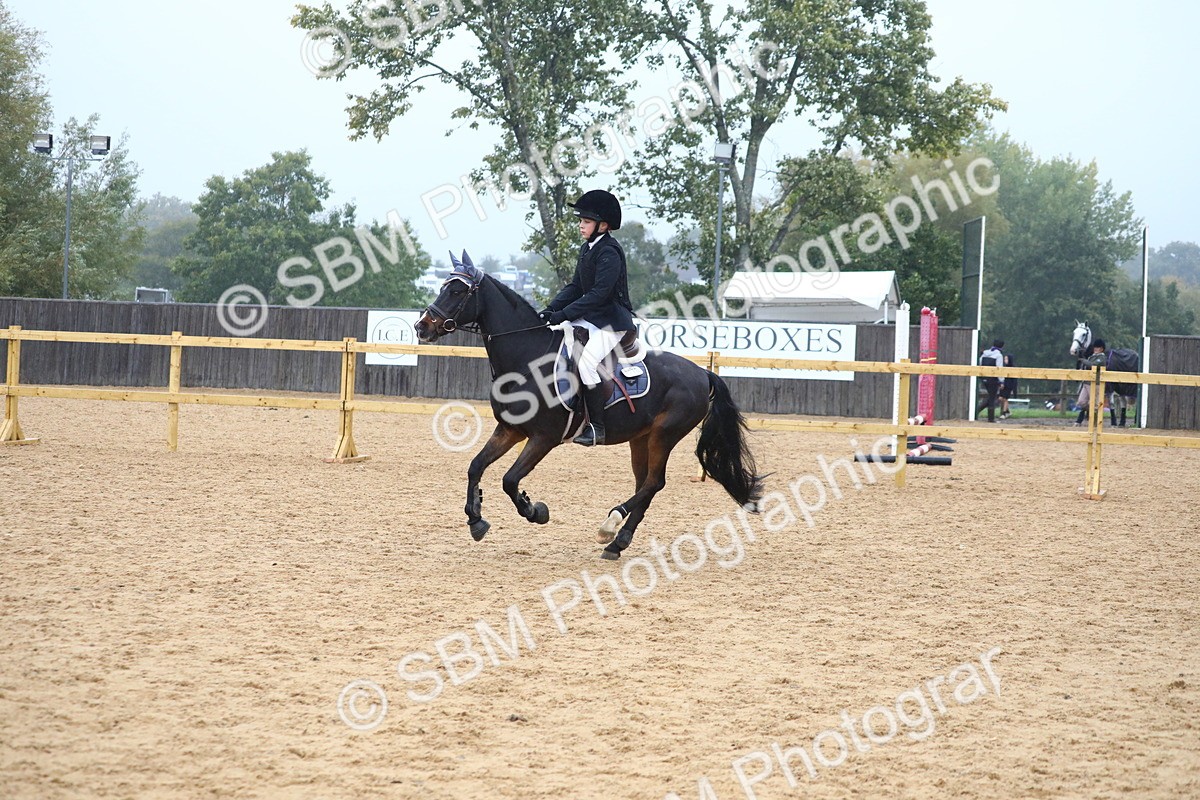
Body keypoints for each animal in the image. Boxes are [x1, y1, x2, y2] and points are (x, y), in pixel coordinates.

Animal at [414, 251, 763, 560]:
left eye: (457, 290)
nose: (422, 326)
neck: (528, 358)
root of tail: (702, 373)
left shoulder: (544, 438)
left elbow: (510, 480)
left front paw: (535, 510)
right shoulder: (510, 429)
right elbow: (475, 466)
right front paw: (476, 519)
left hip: (664, 435)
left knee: (654, 483)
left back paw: (610, 524)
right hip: (641, 438)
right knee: (646, 484)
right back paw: (618, 542)